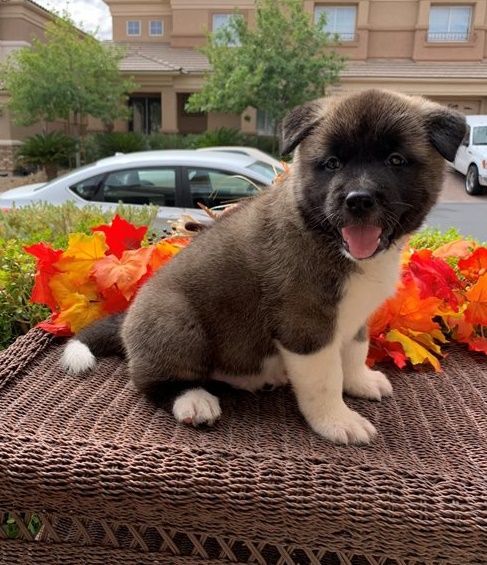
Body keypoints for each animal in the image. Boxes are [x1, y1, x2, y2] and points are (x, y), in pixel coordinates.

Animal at [63, 88, 468, 442]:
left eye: (395, 160)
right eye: (332, 164)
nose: (358, 200)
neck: (324, 236)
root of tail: (127, 323)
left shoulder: (355, 317)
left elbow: (354, 351)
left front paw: (360, 381)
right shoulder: (306, 325)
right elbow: (325, 380)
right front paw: (337, 421)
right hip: (175, 321)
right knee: (151, 381)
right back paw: (192, 399)